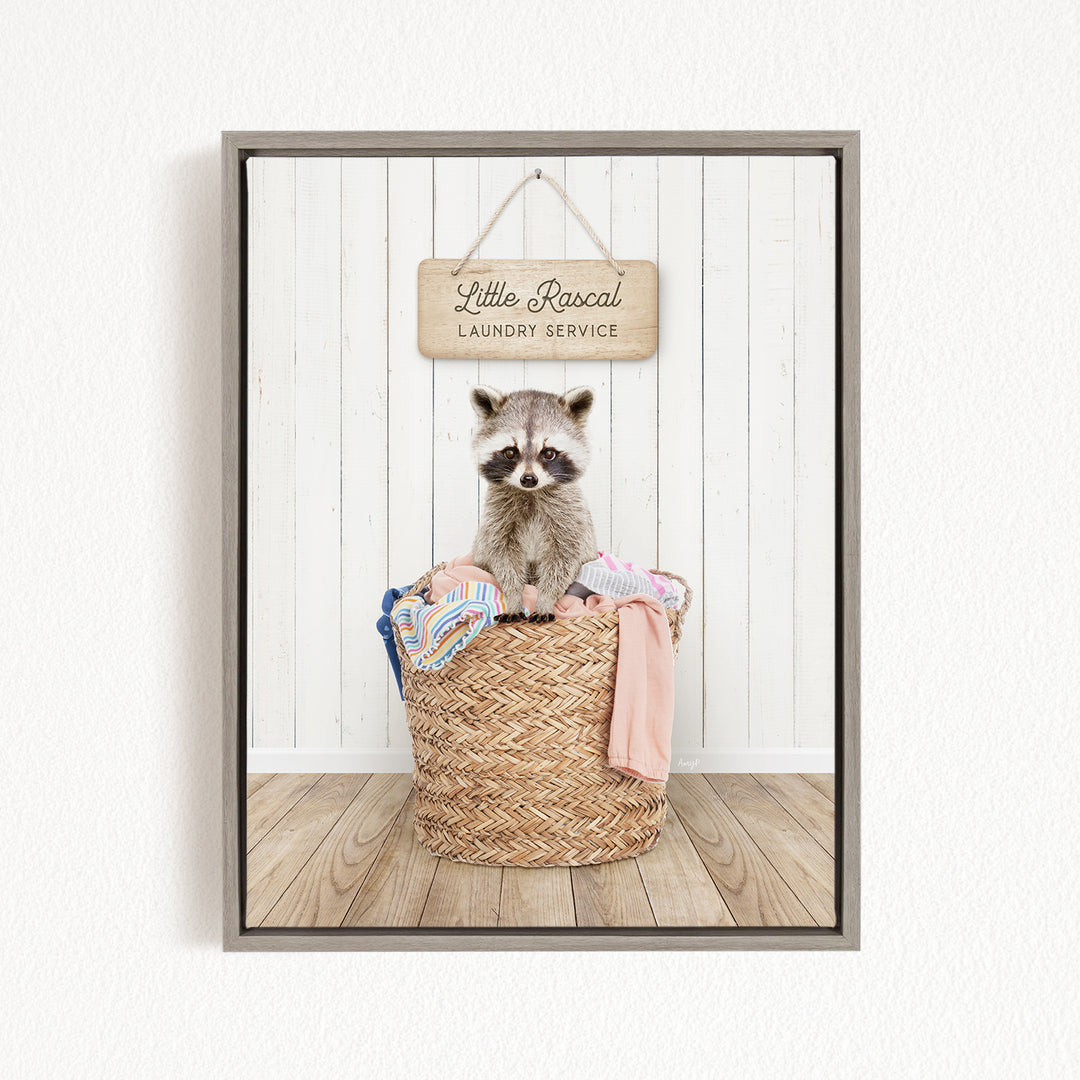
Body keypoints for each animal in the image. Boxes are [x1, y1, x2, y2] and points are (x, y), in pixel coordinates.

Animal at [470, 384, 598, 621]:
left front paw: (546, 599)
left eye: (548, 453)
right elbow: (503, 557)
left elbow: (562, 560)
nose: (528, 479)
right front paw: (513, 597)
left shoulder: (569, 516)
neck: (531, 493)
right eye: (510, 452)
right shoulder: (497, 517)